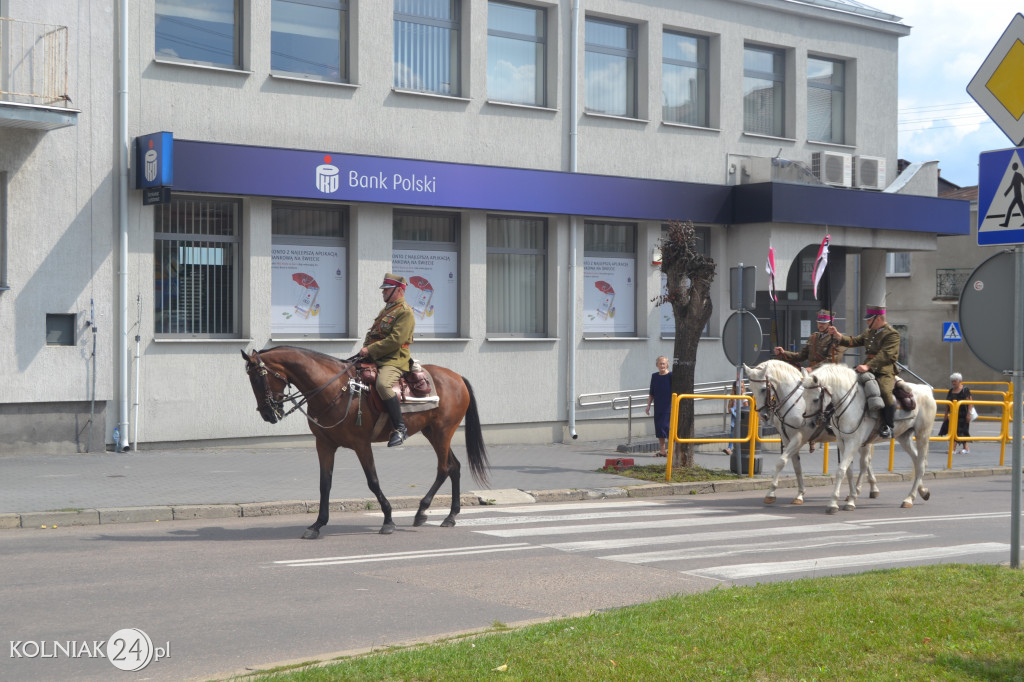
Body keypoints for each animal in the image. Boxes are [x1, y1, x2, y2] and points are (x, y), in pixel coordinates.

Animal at [243, 346, 491, 536]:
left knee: (444, 468)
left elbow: (373, 481)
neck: (334, 388)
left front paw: (388, 519)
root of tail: (457, 377)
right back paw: (450, 515)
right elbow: (325, 484)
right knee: (454, 467)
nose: (267, 414)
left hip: (442, 433)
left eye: (257, 379)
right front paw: (317, 524)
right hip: (433, 432)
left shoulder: (361, 445)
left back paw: (423, 511)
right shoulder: (324, 445)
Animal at [745, 358, 880, 501]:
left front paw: (771, 492)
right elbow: (796, 466)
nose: (763, 415)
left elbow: (781, 461)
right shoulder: (787, 440)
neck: (793, 400)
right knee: (867, 462)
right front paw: (800, 493)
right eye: (751, 388)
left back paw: (863, 490)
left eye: (763, 389)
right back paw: (867, 489)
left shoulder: (799, 438)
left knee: (865, 461)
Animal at [798, 360, 937, 509]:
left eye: (815, 399)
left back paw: (909, 499)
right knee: (917, 461)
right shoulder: (842, 442)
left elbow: (841, 469)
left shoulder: (853, 442)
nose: (810, 423)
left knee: (921, 465)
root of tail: (926, 390)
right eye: (803, 396)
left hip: (923, 435)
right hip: (904, 437)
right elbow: (849, 470)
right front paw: (852, 497)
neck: (849, 403)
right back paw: (923, 492)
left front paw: (834, 503)